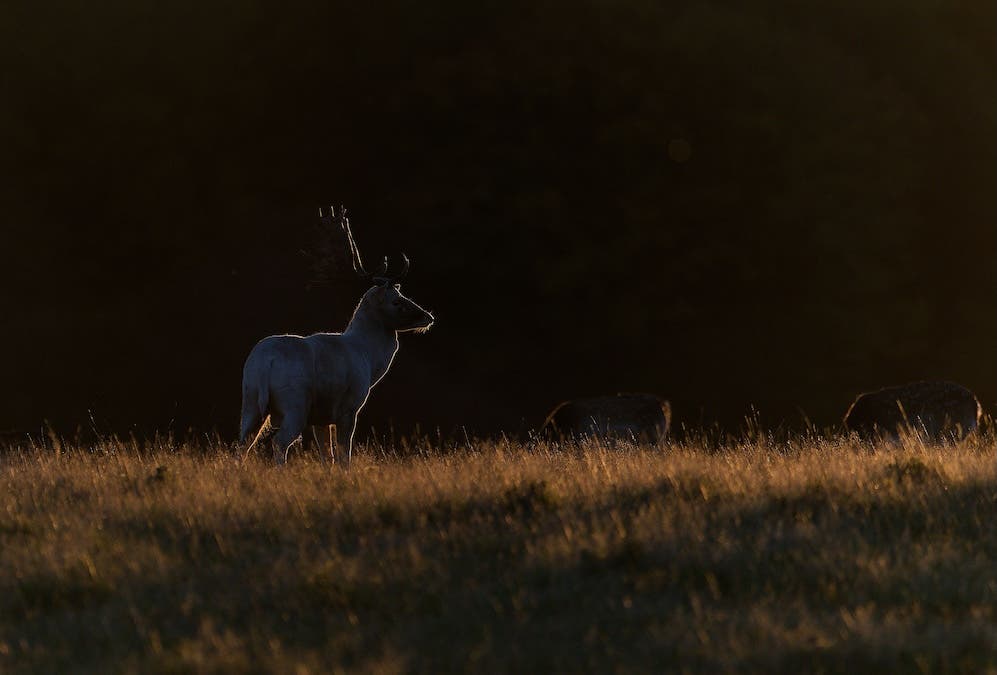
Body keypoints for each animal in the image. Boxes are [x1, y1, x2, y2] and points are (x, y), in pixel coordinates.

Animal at [239, 206, 434, 467]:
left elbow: (326, 456)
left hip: (250, 399)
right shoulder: (348, 408)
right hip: (295, 402)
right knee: (279, 443)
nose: (428, 316)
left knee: (242, 444)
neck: (367, 358)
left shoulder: (321, 418)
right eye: (396, 301)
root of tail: (264, 363)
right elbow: (343, 455)